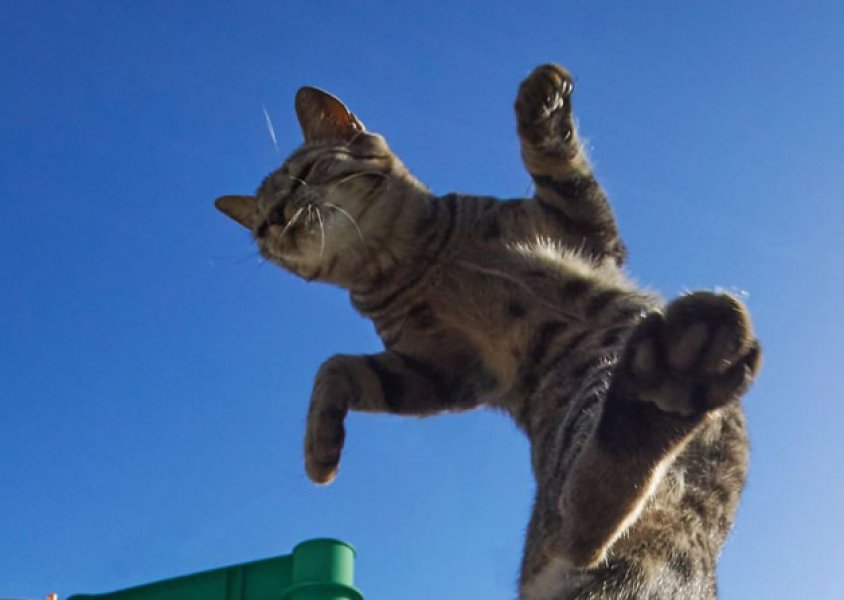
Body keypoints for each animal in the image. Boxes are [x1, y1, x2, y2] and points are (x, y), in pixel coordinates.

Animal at [214, 65, 760, 600]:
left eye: (304, 175)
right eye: (259, 228)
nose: (275, 221)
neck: (407, 261)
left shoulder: (585, 232)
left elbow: (562, 168)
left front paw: (542, 100)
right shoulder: (438, 371)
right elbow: (336, 368)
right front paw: (320, 453)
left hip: (600, 362)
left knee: (585, 518)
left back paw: (676, 374)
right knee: (579, 527)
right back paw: (670, 380)